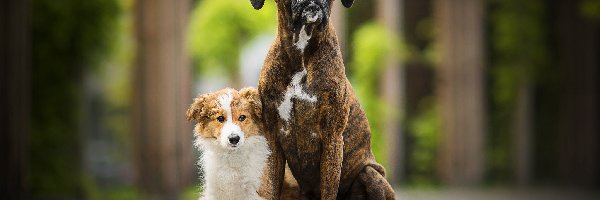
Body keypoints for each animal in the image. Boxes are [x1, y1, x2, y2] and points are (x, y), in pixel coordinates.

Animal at [250, 0, 396, 200]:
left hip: (371, 174)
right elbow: (270, 188)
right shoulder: (272, 138)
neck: (301, 53)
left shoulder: (332, 138)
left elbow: (329, 189)